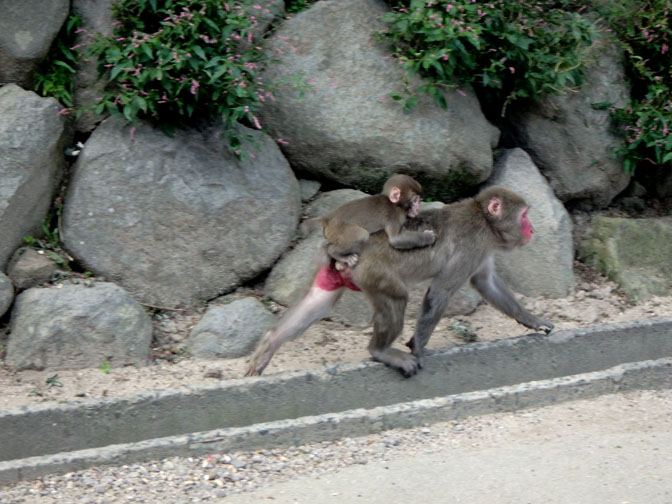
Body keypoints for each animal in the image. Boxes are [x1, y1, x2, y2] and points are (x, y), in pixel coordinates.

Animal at [245, 185, 554, 378]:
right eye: (525, 215)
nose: (532, 229)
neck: (486, 222)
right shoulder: (474, 244)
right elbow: (440, 292)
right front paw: (417, 347)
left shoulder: (483, 250)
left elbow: (485, 282)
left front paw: (532, 320)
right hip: (372, 272)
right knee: (396, 297)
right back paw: (380, 351)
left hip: (337, 272)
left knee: (317, 302)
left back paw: (269, 344)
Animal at [302, 174, 435, 270]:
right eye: (415, 200)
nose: (418, 207)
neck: (395, 204)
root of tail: (327, 218)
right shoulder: (394, 216)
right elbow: (396, 239)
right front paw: (428, 237)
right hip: (338, 229)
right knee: (361, 235)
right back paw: (338, 254)